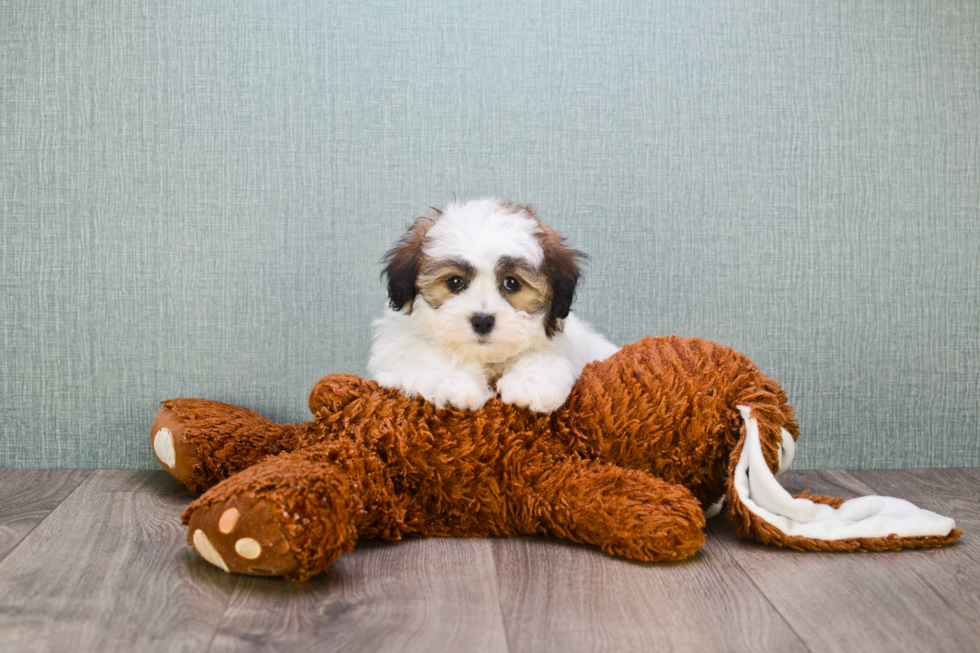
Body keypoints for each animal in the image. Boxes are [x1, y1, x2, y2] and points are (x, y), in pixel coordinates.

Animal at [370, 199, 620, 412]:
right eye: (455, 282)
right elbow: (422, 356)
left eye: (512, 283)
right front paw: (456, 385)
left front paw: (531, 387)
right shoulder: (398, 344)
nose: (482, 321)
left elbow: (542, 357)